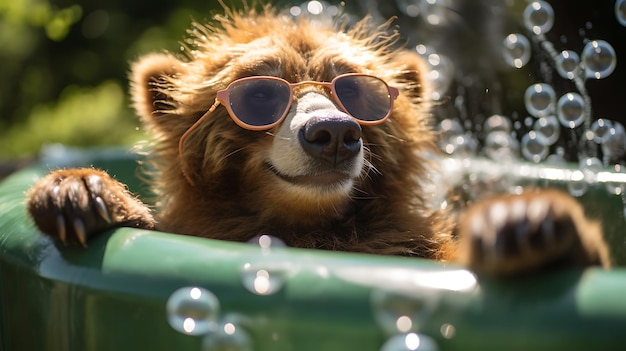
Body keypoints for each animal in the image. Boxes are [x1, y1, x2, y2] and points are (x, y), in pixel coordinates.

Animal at [25, 4, 608, 276]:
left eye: (358, 92)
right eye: (260, 91)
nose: (332, 133)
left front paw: (525, 220)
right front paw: (79, 192)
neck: (310, 228)